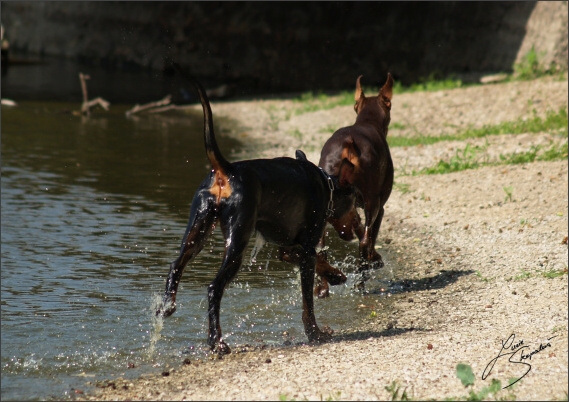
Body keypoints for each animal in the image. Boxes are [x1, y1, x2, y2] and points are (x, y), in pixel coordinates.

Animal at [155, 68, 350, 354]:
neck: (326, 184)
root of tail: (226, 170)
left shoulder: (289, 248)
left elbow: (317, 262)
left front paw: (336, 275)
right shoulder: (305, 248)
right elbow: (307, 302)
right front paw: (315, 332)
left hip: (197, 229)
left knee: (175, 265)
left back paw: (167, 305)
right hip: (237, 240)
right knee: (214, 288)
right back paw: (217, 342)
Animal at [312, 74, 392, 296]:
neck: (367, 121)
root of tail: (348, 146)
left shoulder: (349, 208)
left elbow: (357, 228)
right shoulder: (377, 206)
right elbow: (370, 236)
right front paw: (375, 259)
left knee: (320, 244)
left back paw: (322, 286)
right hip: (373, 201)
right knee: (364, 243)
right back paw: (361, 282)